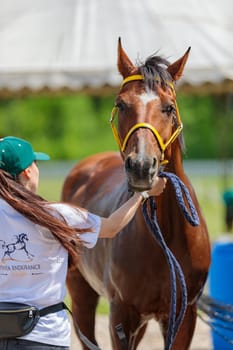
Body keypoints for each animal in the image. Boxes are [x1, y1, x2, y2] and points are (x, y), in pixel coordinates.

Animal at [62, 39, 211, 348]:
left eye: (168, 108)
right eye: (121, 104)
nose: (141, 166)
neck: (165, 235)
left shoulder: (183, 316)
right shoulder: (121, 315)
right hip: (82, 295)